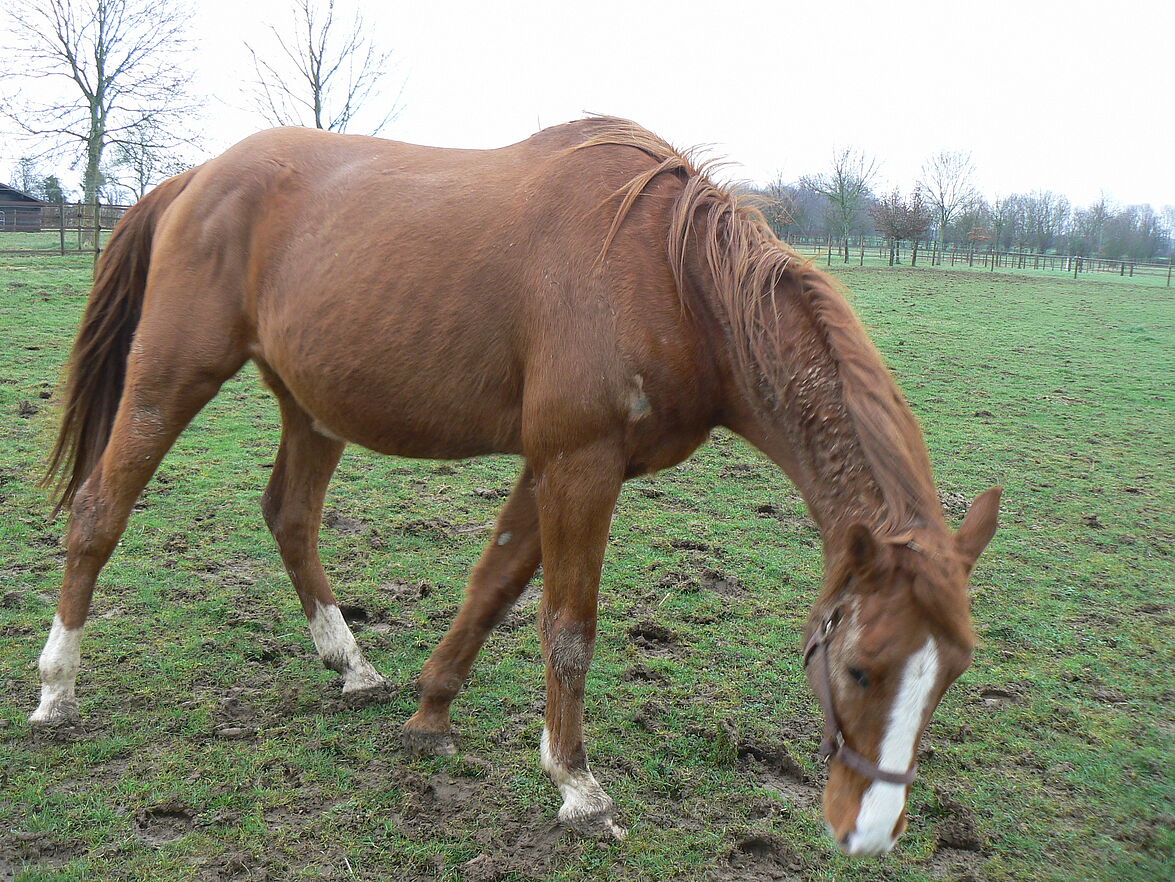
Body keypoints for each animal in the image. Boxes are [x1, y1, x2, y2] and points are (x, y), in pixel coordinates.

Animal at [32, 117, 996, 854]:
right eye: (861, 669)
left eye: (948, 673)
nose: (868, 831)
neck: (673, 277)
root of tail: (192, 178)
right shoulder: (580, 463)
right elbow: (568, 629)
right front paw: (576, 785)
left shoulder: (559, 467)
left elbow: (493, 585)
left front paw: (429, 714)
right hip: (169, 379)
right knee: (99, 513)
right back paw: (56, 690)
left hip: (310, 407)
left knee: (290, 517)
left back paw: (351, 664)